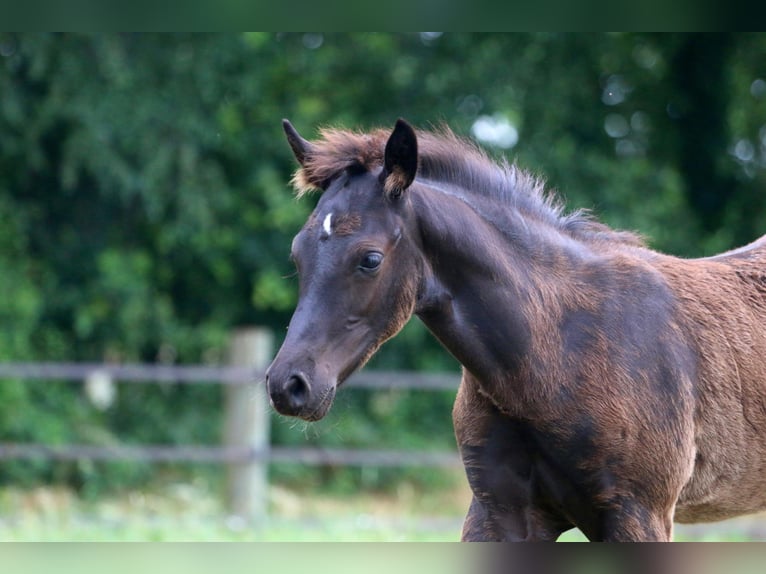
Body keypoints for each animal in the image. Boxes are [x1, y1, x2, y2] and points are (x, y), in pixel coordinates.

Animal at [265, 118, 766, 541]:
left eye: (369, 258)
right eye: (296, 252)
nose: (288, 384)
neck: (553, 357)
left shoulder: (641, 514)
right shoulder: (498, 511)